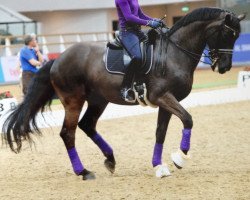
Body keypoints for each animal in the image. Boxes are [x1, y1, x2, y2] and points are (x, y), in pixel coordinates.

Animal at [2, 7, 244, 180]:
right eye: (226, 33)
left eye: (236, 36)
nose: (224, 67)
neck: (174, 53)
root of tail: (58, 59)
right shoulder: (162, 97)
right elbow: (188, 119)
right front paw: (180, 158)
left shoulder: (166, 101)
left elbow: (160, 132)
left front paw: (159, 166)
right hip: (73, 100)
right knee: (68, 133)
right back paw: (83, 172)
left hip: (98, 100)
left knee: (87, 125)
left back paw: (110, 160)